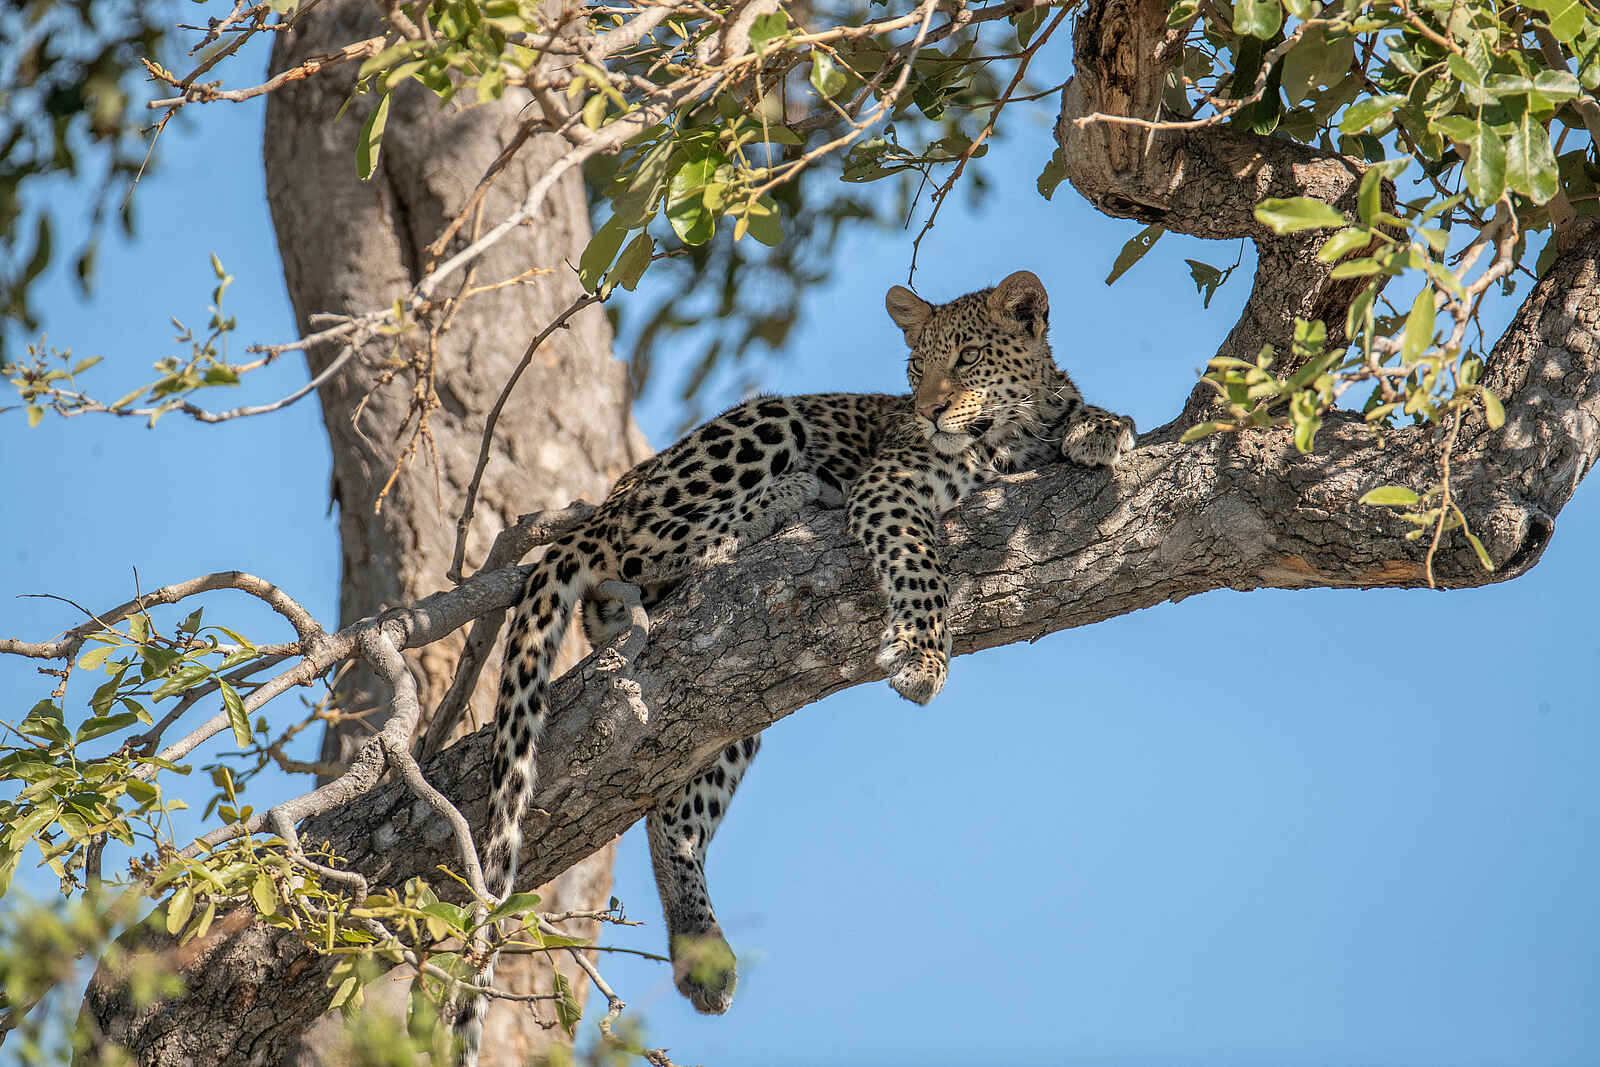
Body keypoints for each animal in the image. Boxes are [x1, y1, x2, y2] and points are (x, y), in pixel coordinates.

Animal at [452, 270, 1136, 1065]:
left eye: (966, 358)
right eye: (915, 366)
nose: (930, 409)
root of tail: (607, 500)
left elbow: (1078, 407)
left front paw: (1100, 426)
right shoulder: (892, 483)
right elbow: (919, 562)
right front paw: (922, 656)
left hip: (730, 710)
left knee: (669, 814)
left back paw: (700, 949)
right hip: (760, 425)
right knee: (646, 545)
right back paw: (789, 496)